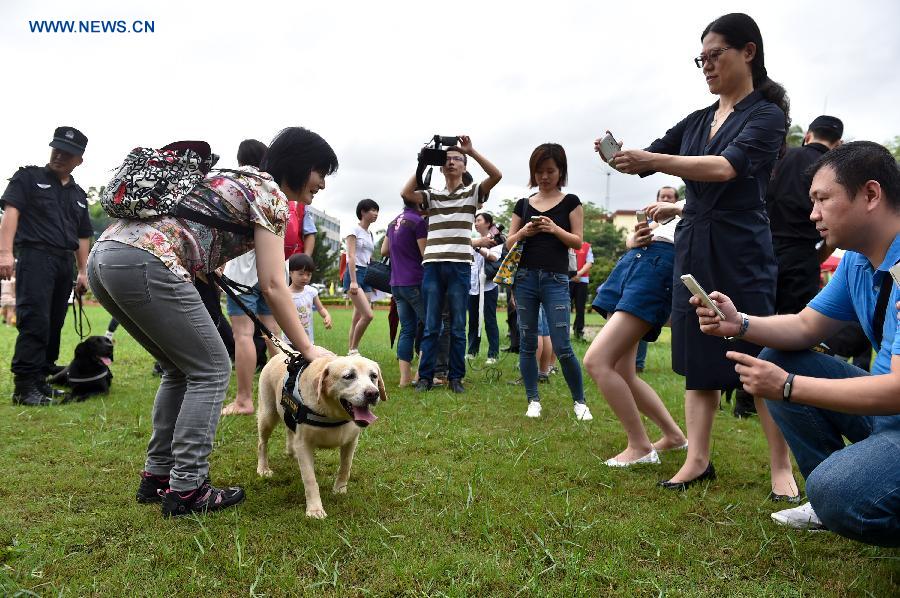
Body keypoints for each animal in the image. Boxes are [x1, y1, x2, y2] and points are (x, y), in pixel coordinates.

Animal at [258, 356, 388, 520]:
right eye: (349, 376)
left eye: (373, 376)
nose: (373, 393)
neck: (332, 413)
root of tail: (280, 355)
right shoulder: (304, 444)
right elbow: (310, 479)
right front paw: (314, 509)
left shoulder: (351, 442)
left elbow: (345, 467)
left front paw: (340, 489)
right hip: (267, 415)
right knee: (262, 444)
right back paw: (263, 469)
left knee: (289, 430)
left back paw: (291, 452)